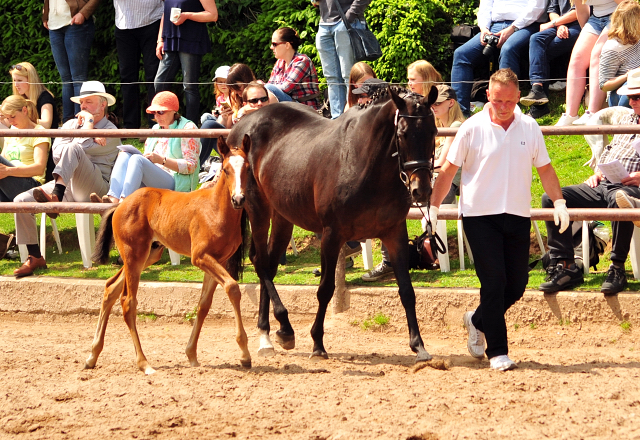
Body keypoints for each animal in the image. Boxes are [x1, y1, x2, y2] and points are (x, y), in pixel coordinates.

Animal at [86, 138, 251, 374]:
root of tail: (120, 204)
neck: (216, 210)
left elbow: (204, 304)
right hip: (134, 255)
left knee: (110, 289)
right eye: (226, 170)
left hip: (147, 255)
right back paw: (143, 363)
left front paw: (191, 354)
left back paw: (92, 355)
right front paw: (245, 353)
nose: (238, 199)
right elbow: (232, 288)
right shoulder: (200, 257)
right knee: (128, 302)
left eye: (247, 168)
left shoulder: (218, 260)